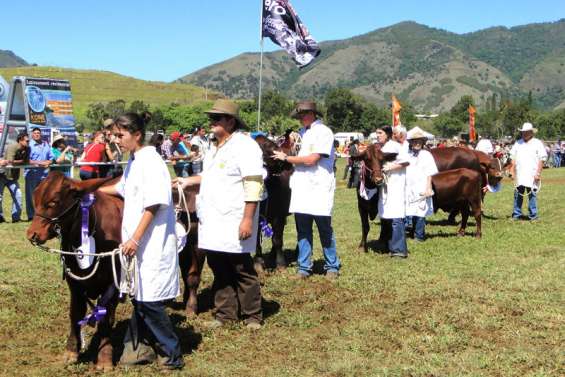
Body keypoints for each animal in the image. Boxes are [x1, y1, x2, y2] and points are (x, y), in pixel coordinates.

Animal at [26, 173, 121, 368]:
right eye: (35, 198)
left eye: (54, 202)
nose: (32, 234)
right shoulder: (74, 284)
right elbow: (75, 313)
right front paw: (71, 351)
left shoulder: (112, 284)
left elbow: (106, 318)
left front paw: (105, 357)